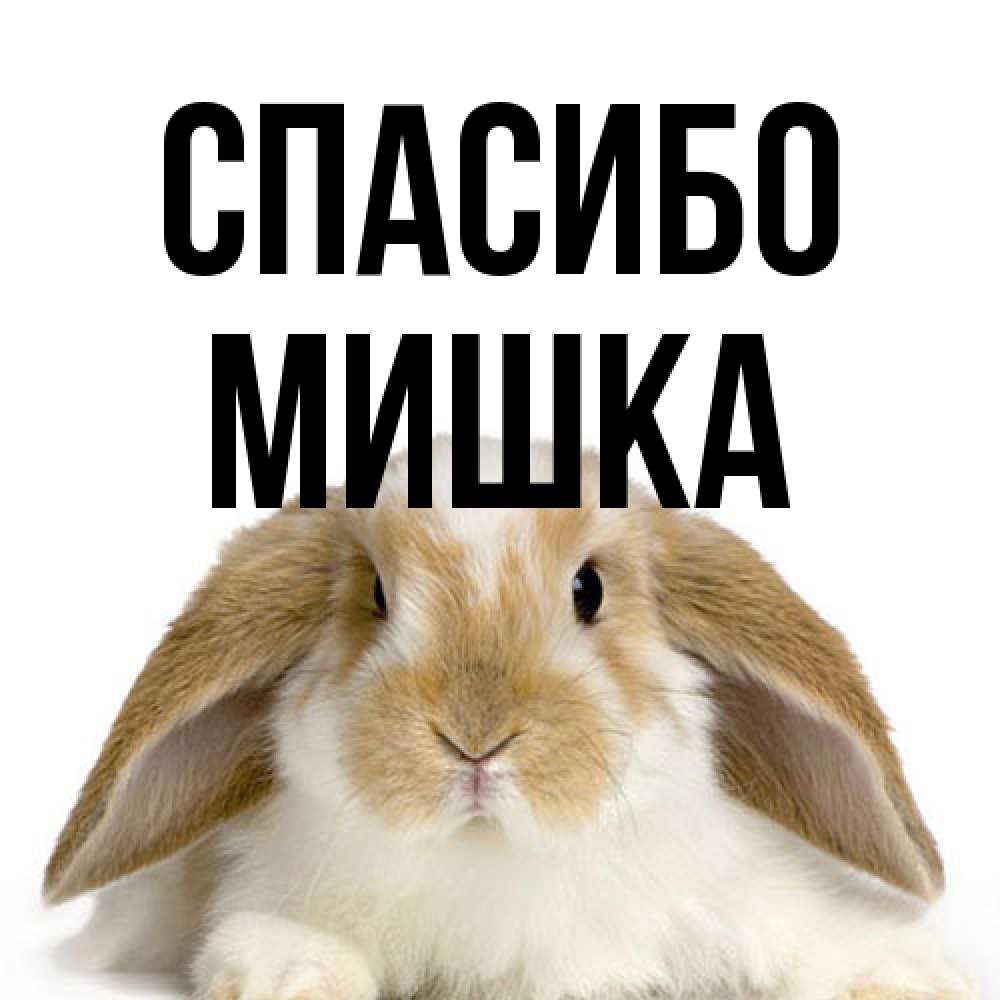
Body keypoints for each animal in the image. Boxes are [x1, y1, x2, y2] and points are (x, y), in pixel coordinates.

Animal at [45, 437, 975, 1000]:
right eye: (376, 595)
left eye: (589, 589)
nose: (475, 737)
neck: (495, 857)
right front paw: (290, 977)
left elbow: (818, 940)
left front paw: (909, 978)